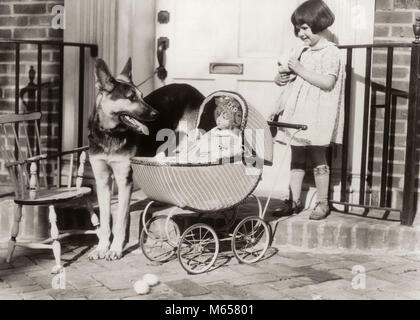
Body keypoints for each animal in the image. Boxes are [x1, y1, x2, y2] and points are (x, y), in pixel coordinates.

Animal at [88, 57, 203, 260]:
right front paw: (101, 247)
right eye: (131, 97)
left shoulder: (124, 180)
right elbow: (105, 219)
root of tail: (191, 88)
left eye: (141, 96)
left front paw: (115, 249)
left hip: (189, 145)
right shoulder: (102, 180)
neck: (110, 134)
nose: (156, 114)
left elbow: (120, 220)